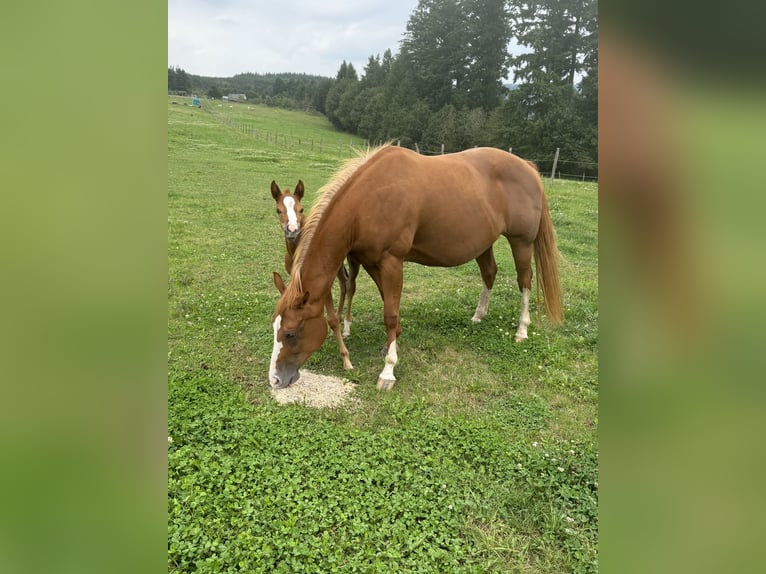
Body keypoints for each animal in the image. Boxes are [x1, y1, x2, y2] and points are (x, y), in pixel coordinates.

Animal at [270, 179, 354, 374]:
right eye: (278, 210)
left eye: (301, 209)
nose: (292, 230)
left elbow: (331, 320)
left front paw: (346, 359)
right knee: (344, 284)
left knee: (350, 285)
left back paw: (346, 325)